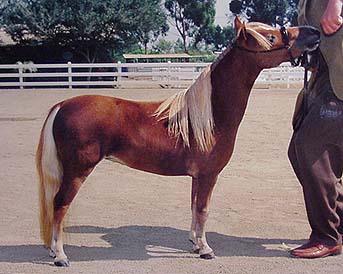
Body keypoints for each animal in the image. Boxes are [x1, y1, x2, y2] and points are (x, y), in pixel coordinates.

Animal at [36, 16, 322, 266]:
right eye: (271, 37)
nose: (314, 33)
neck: (211, 114)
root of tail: (63, 105)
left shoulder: (197, 177)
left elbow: (195, 208)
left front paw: (195, 244)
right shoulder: (208, 175)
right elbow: (204, 210)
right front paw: (205, 250)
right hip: (77, 171)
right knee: (60, 205)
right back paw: (60, 256)